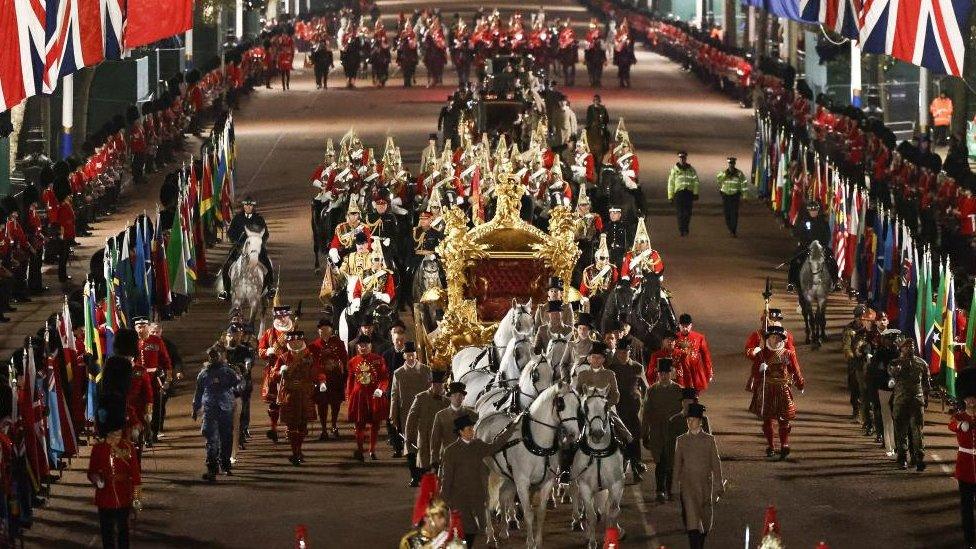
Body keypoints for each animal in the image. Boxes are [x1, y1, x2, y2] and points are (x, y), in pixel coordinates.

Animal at [478, 384, 580, 544]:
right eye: (561, 404)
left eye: (577, 405)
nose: (574, 435)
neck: (535, 441)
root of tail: (482, 420)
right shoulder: (522, 482)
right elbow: (528, 513)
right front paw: (530, 542)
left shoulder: (547, 482)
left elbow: (541, 513)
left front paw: (537, 542)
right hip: (486, 472)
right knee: (487, 501)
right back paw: (491, 536)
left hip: (507, 475)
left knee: (502, 496)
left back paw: (503, 531)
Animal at [572, 388, 624, 544]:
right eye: (586, 407)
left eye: (606, 406)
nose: (597, 433)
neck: (598, 452)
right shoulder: (585, 486)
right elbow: (592, 515)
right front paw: (592, 541)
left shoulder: (617, 484)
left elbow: (612, 511)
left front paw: (613, 534)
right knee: (574, 493)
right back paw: (577, 521)